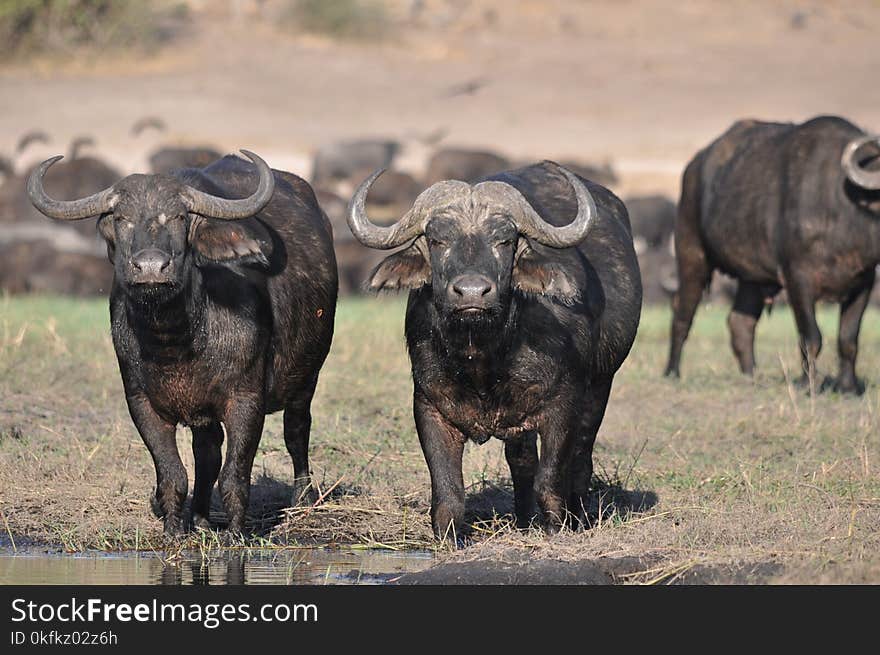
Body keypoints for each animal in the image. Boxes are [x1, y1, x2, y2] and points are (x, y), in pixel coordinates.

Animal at [27, 151, 336, 536]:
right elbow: (173, 473)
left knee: (296, 430)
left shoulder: (246, 399)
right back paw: (200, 518)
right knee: (208, 452)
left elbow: (235, 474)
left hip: (308, 376)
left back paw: (303, 499)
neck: (175, 342)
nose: (150, 267)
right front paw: (174, 529)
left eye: (179, 216)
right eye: (121, 218)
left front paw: (236, 534)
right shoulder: (142, 403)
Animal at [348, 160, 644, 540]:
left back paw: (578, 515)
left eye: (504, 241)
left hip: (601, 386)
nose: (473, 293)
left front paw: (559, 530)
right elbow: (448, 493)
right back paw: (524, 521)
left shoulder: (564, 406)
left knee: (580, 458)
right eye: (437, 240)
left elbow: (551, 481)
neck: (483, 356)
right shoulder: (428, 407)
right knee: (522, 461)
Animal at [668, 114, 880, 394]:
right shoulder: (797, 278)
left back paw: (751, 376)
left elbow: (848, 339)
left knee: (740, 322)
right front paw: (808, 386)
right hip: (692, 254)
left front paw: (848, 387)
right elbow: (811, 336)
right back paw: (672, 372)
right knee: (682, 312)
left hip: (752, 277)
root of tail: (694, 166)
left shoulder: (863, 280)